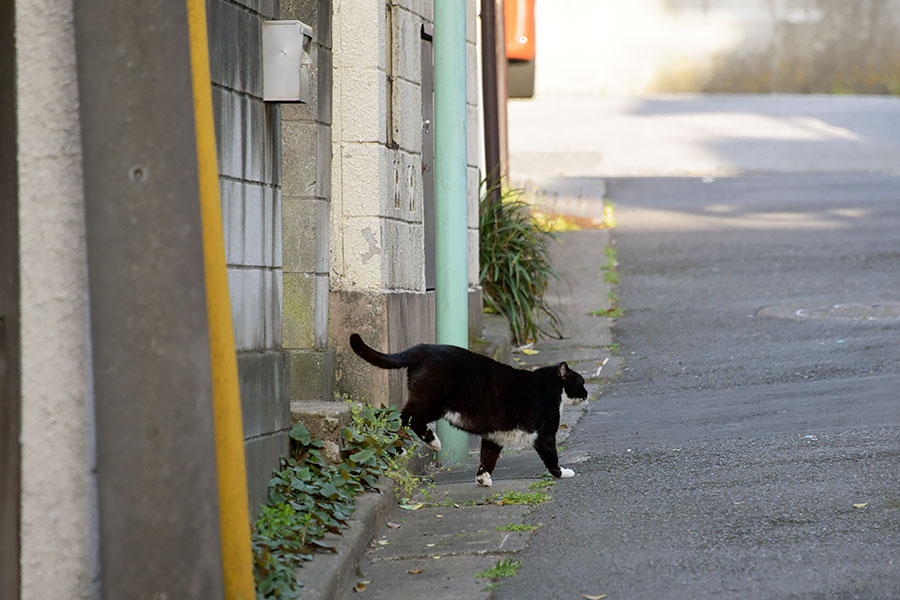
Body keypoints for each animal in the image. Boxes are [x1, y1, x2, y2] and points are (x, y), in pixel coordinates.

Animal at [348, 336, 588, 486]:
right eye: (582, 382)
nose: (587, 394)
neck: (552, 385)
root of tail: (424, 346)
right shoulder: (545, 432)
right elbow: (551, 455)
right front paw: (563, 473)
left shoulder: (495, 435)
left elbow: (488, 457)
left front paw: (483, 479)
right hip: (433, 402)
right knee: (404, 416)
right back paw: (431, 442)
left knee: (390, 417)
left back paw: (395, 450)